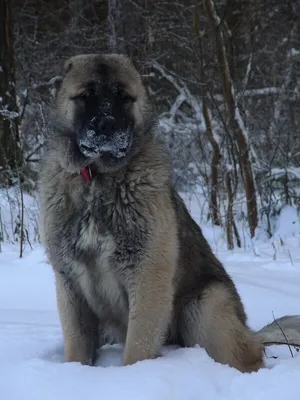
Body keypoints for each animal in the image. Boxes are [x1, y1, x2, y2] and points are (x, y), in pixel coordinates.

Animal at [38, 53, 300, 372]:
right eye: (86, 95)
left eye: (123, 97)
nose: (107, 126)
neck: (98, 180)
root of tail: (250, 330)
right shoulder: (70, 285)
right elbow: (77, 345)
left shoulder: (148, 277)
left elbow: (138, 346)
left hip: (204, 307)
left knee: (247, 354)